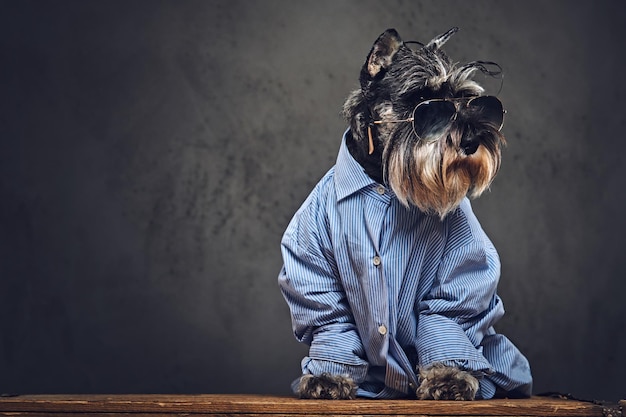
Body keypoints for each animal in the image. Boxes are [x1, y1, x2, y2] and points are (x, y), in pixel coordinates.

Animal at [278, 27, 532, 398]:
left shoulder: (458, 268)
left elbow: (447, 318)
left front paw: (448, 377)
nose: (473, 141)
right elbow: (331, 324)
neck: (381, 179)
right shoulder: (312, 266)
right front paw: (327, 378)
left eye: (471, 101)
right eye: (422, 101)